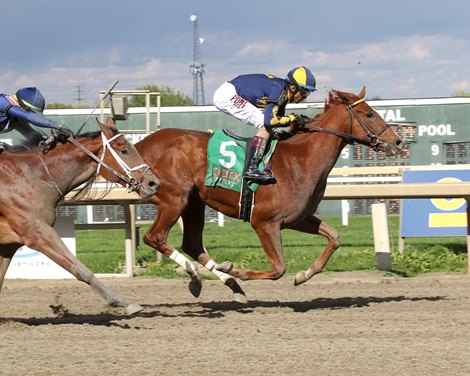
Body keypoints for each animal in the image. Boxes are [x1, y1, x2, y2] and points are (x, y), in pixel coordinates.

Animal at [0, 120, 160, 314]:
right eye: (124, 150)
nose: (153, 184)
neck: (34, 176)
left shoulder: (9, 245)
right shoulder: (38, 233)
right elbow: (80, 269)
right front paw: (123, 302)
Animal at [136, 86, 404, 302]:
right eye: (369, 114)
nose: (398, 142)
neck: (300, 159)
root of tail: (141, 144)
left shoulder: (297, 219)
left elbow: (334, 238)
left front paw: (303, 275)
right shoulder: (264, 222)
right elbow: (278, 269)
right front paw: (235, 269)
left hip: (193, 203)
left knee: (191, 243)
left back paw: (226, 285)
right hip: (174, 199)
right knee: (154, 237)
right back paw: (199, 276)